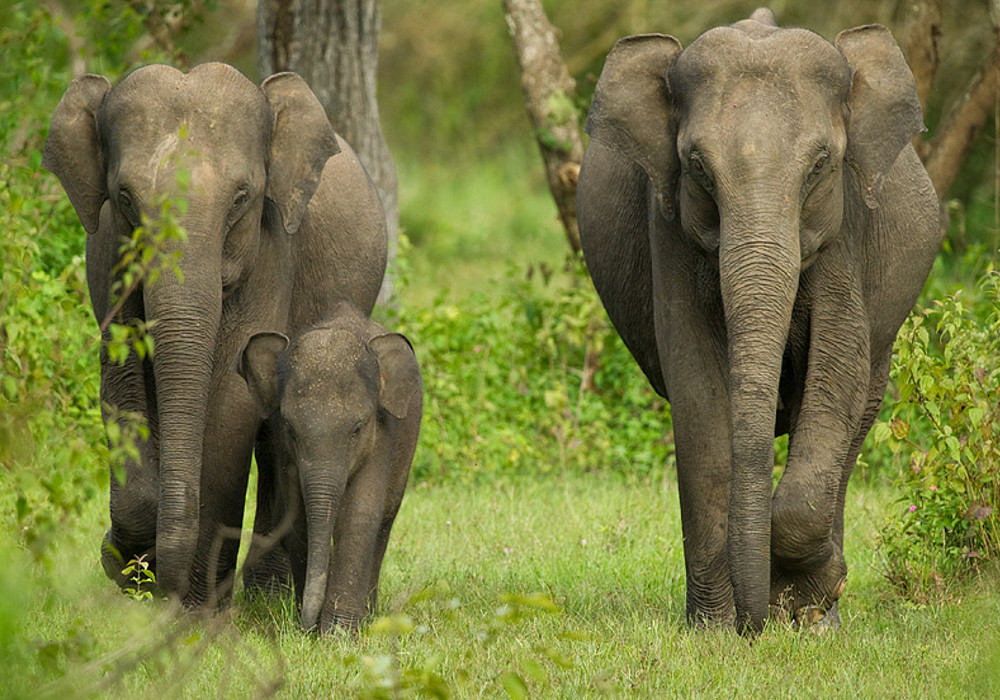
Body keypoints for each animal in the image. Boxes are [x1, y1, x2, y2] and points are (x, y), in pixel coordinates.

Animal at [42, 62, 388, 606]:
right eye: (125, 197)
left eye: (241, 198)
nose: (158, 582)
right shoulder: (108, 255)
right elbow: (120, 384)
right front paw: (127, 567)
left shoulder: (272, 250)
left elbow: (231, 400)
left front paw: (194, 607)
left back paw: (265, 596)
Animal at [235, 302, 422, 632]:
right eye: (289, 428)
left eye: (358, 429)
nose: (306, 623)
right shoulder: (284, 451)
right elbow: (298, 519)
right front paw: (312, 630)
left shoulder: (382, 438)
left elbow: (359, 516)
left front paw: (338, 634)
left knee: (384, 523)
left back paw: (369, 614)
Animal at [577, 8, 942, 634]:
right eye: (697, 166)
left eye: (821, 164)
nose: (757, 625)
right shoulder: (666, 228)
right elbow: (698, 392)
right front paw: (716, 632)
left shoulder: (845, 232)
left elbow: (837, 371)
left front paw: (800, 597)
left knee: (856, 417)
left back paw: (821, 620)